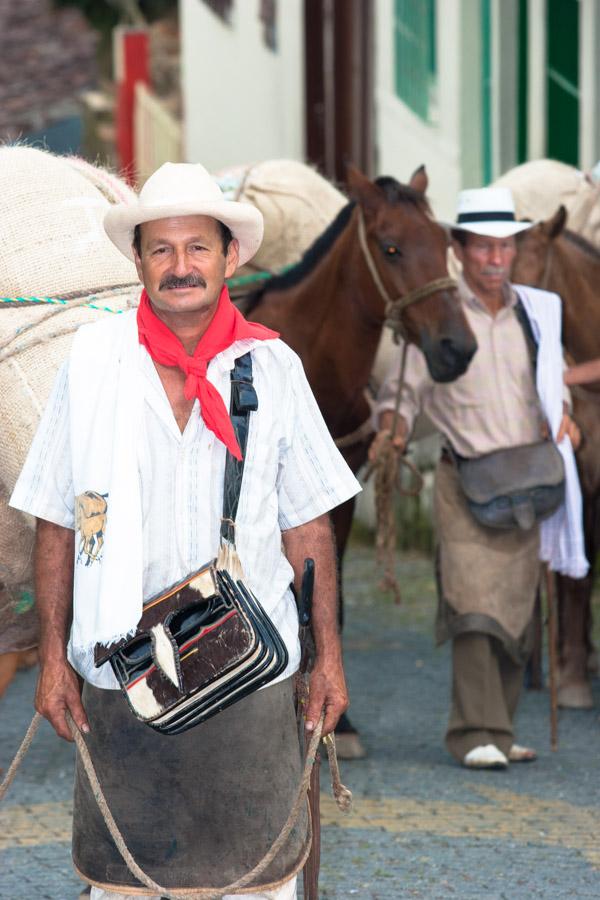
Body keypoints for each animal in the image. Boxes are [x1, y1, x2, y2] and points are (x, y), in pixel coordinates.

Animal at [240, 165, 478, 748]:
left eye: (444, 242)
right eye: (391, 248)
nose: (457, 348)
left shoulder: (336, 498)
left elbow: (331, 604)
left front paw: (336, 720)